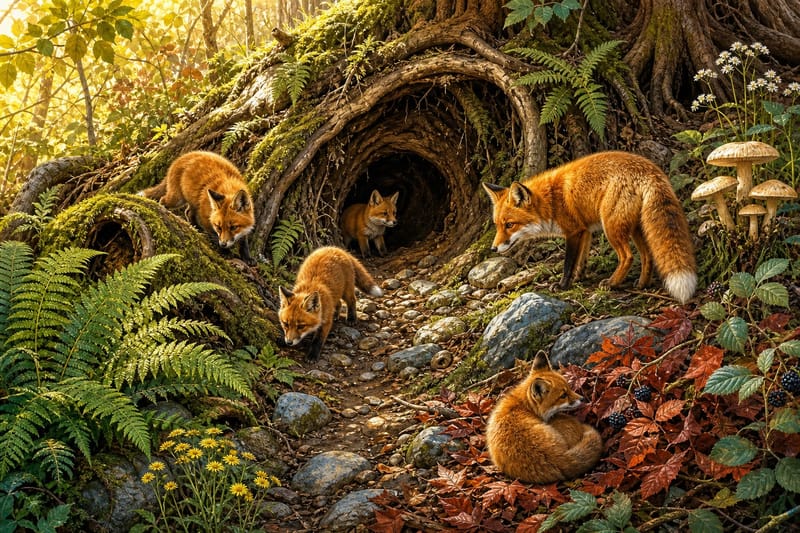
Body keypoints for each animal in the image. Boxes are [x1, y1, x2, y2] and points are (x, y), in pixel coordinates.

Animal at [482, 151, 697, 304]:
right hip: (635, 228)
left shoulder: (573, 232)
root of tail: (651, 170)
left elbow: (569, 262)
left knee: (628, 256)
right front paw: (578, 279)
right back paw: (642, 284)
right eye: (497, 226)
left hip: (611, 227)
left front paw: (562, 285)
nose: (493, 248)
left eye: (510, 225)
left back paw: (612, 283)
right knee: (647, 256)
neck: (551, 201)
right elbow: (581, 261)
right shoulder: (584, 231)